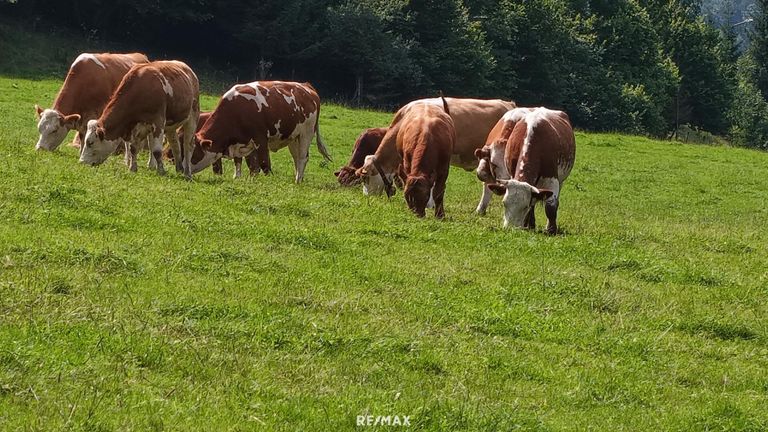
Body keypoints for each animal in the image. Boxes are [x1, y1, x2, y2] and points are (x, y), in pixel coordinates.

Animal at [189, 81, 331, 183]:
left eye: (194, 153)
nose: (186, 171)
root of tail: (306, 86)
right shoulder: (239, 141)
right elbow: (240, 161)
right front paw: (238, 178)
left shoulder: (260, 138)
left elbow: (263, 163)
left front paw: (268, 180)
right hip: (294, 137)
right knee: (296, 157)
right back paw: (298, 178)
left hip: (306, 134)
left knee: (302, 158)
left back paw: (297, 180)